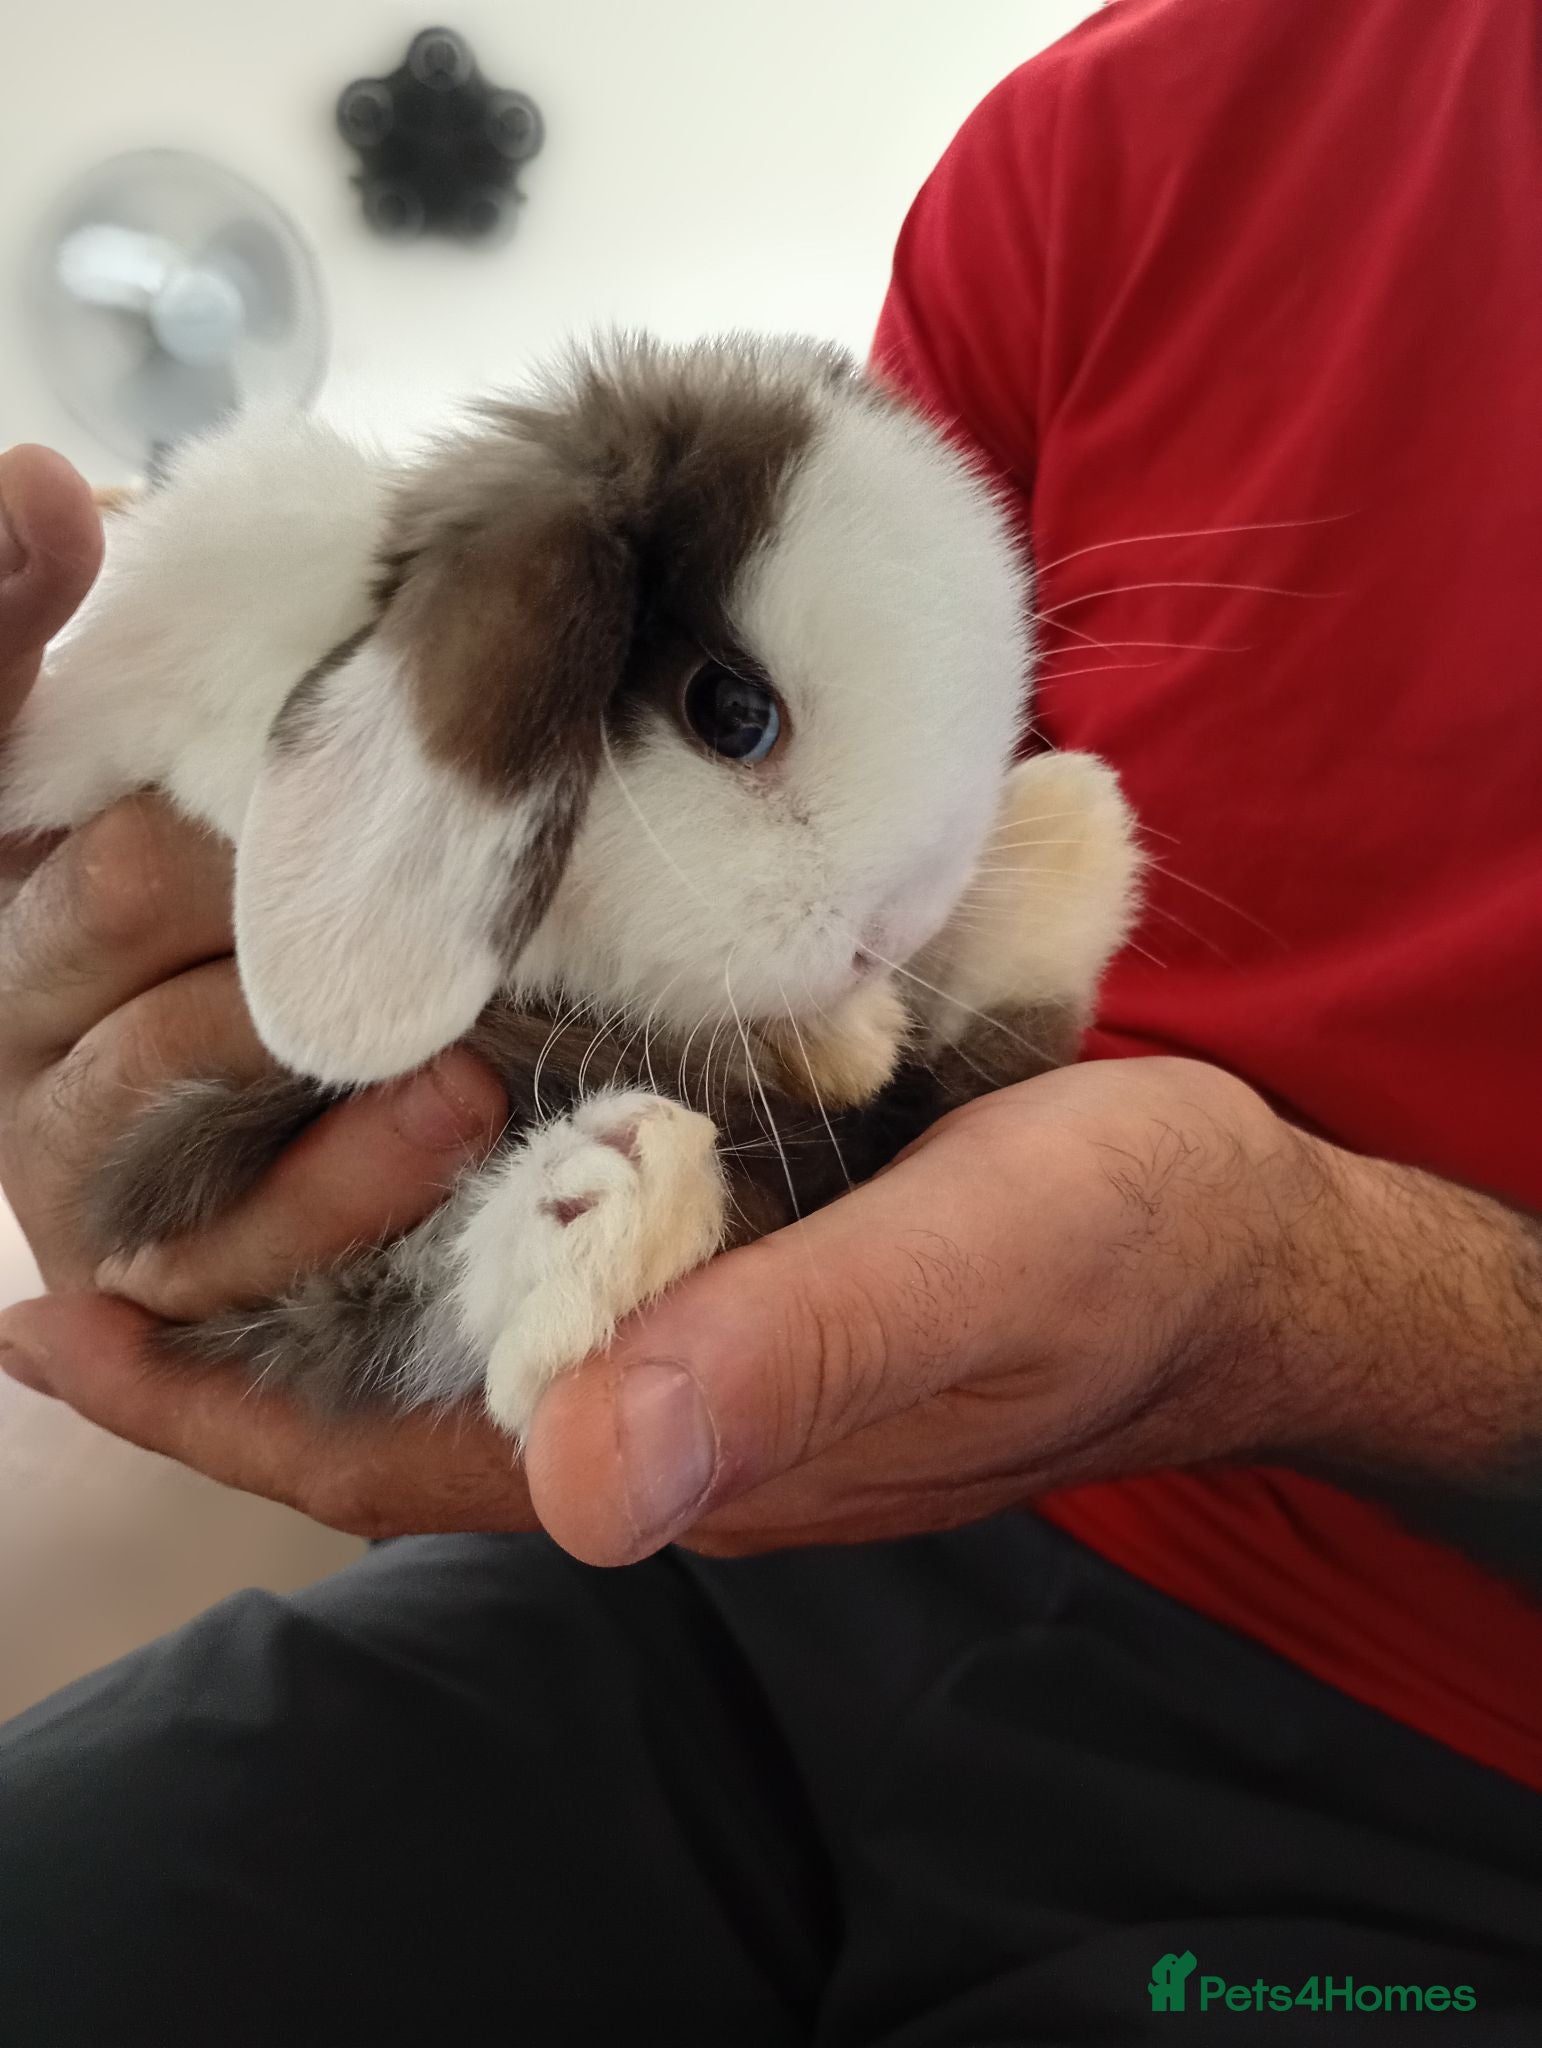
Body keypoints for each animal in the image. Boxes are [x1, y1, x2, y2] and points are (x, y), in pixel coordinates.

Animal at [0, 334, 1141, 1437]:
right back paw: (610, 1193)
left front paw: (854, 1033)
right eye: (733, 712)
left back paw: (1070, 834)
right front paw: (844, 1037)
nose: (891, 932)